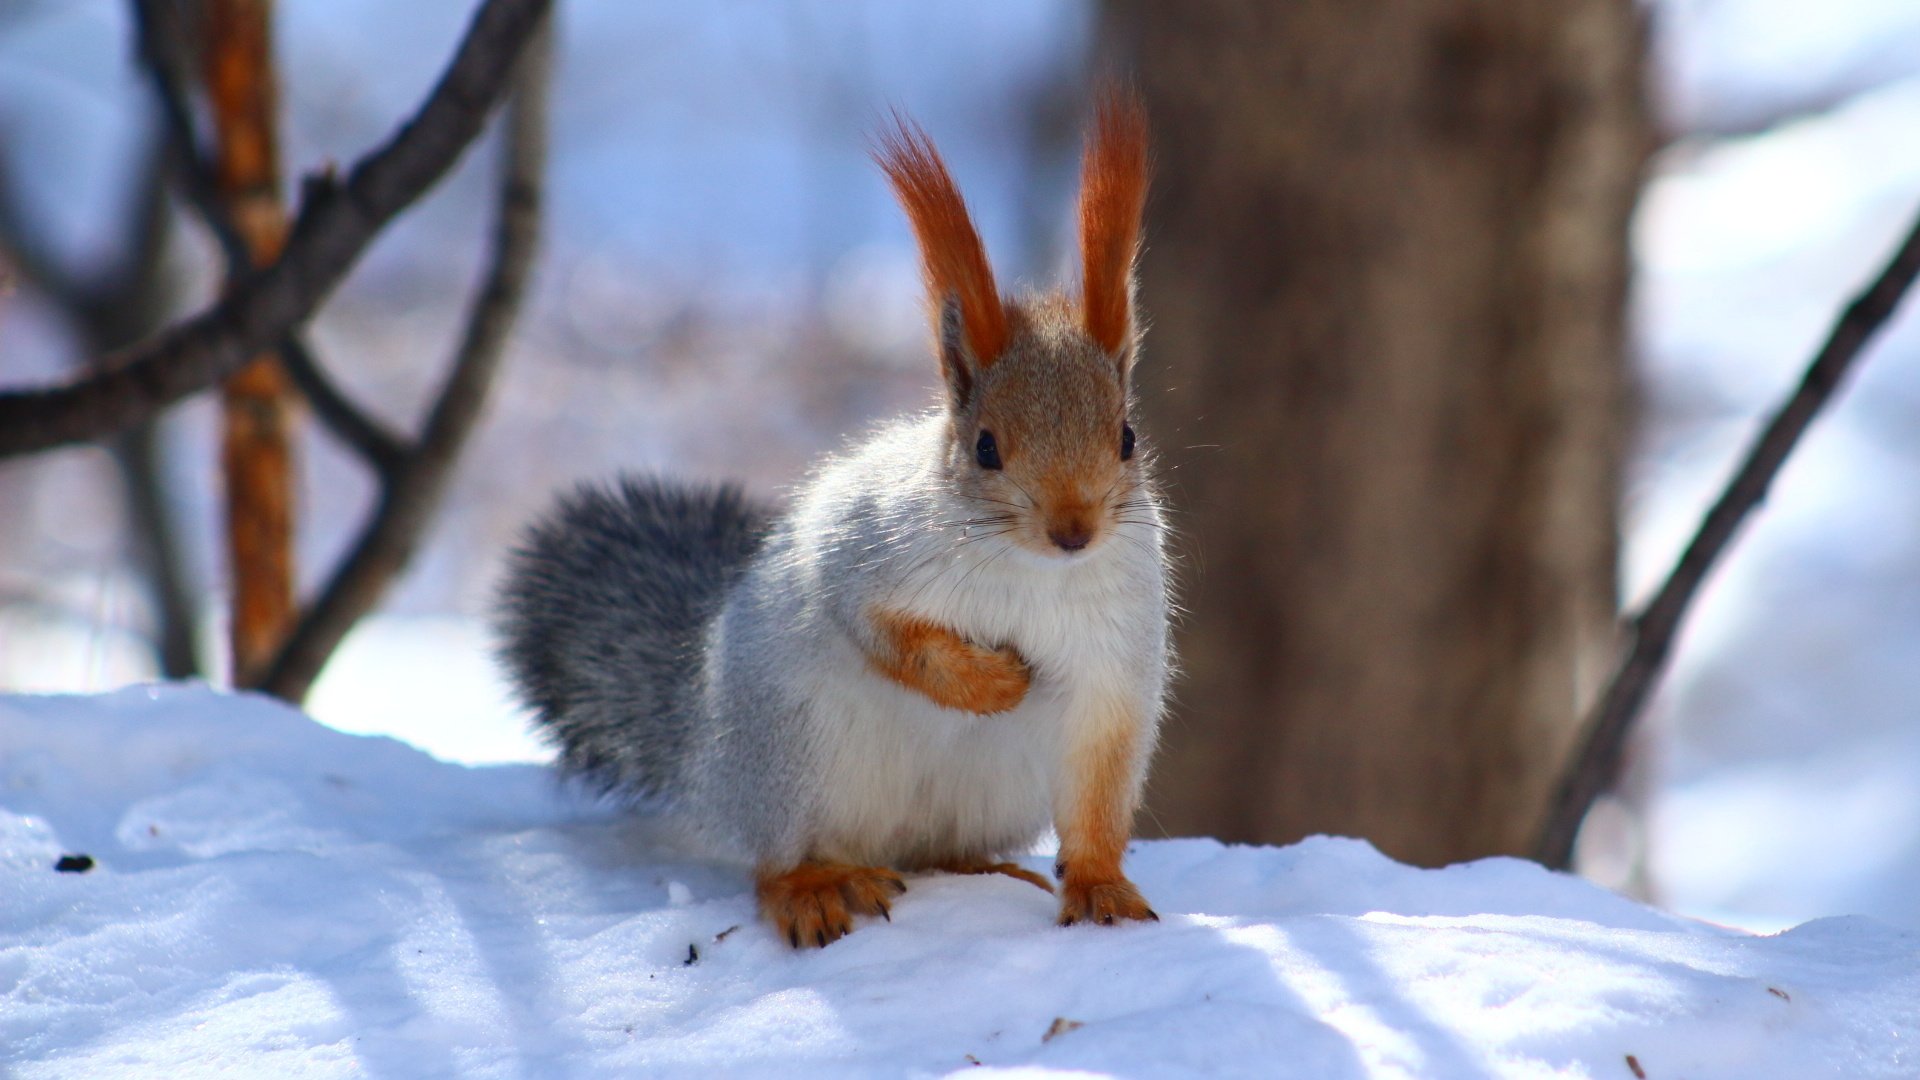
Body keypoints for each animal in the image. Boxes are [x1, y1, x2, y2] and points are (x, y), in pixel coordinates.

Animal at [495, 92, 1159, 949]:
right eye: (985, 448)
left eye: (1127, 437)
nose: (1073, 531)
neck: (1031, 570)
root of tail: (711, 758)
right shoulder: (863, 551)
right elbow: (881, 631)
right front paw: (991, 682)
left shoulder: (1117, 662)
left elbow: (1101, 790)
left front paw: (1103, 886)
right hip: (796, 753)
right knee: (776, 862)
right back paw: (812, 887)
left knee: (937, 851)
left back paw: (985, 869)